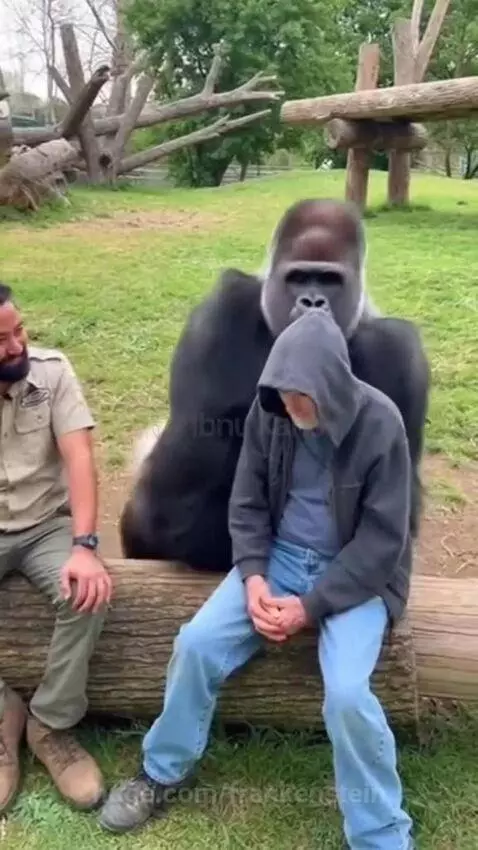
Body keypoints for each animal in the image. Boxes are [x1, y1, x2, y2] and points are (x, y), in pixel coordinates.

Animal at [120, 198, 430, 572]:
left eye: (330, 280)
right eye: (298, 278)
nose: (313, 302)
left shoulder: (399, 353)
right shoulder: (223, 307)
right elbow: (179, 487)